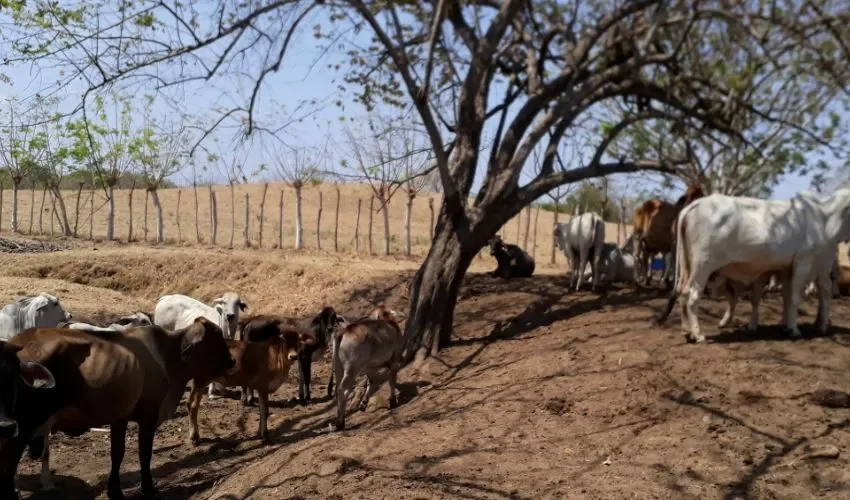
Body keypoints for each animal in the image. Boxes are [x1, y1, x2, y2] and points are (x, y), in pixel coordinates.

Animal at [0, 318, 235, 500]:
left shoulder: (120, 417)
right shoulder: (149, 414)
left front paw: (114, 491)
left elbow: (117, 453)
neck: (170, 355)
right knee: (8, 469)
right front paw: (148, 488)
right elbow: (144, 453)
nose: (232, 361)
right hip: (20, 430)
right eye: (217, 337)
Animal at [332, 302, 404, 432]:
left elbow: (372, 382)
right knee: (343, 390)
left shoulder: (370, 367)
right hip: (352, 369)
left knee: (336, 390)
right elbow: (392, 381)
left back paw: (338, 421)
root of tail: (345, 331)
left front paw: (363, 404)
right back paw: (340, 423)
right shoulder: (394, 360)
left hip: (338, 367)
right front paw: (393, 402)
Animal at [652, 188, 844, 344]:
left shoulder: (785, 269)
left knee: (682, 292)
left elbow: (787, 297)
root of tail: (694, 205)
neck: (823, 217)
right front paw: (795, 329)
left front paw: (785, 326)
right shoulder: (806, 263)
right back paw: (697, 335)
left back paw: (687, 332)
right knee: (691, 295)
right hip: (703, 266)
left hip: (688, 267)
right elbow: (799, 296)